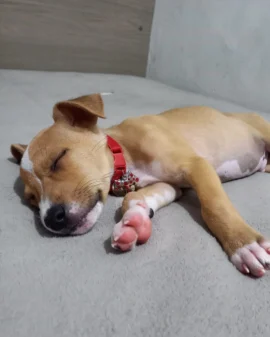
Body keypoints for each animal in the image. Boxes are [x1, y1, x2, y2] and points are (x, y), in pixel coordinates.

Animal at [11, 93, 270, 276]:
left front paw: (243, 244)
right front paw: (134, 222)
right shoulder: (171, 185)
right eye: (32, 199)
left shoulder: (196, 166)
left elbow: (214, 207)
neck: (124, 151)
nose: (51, 219)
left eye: (58, 159)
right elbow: (132, 198)